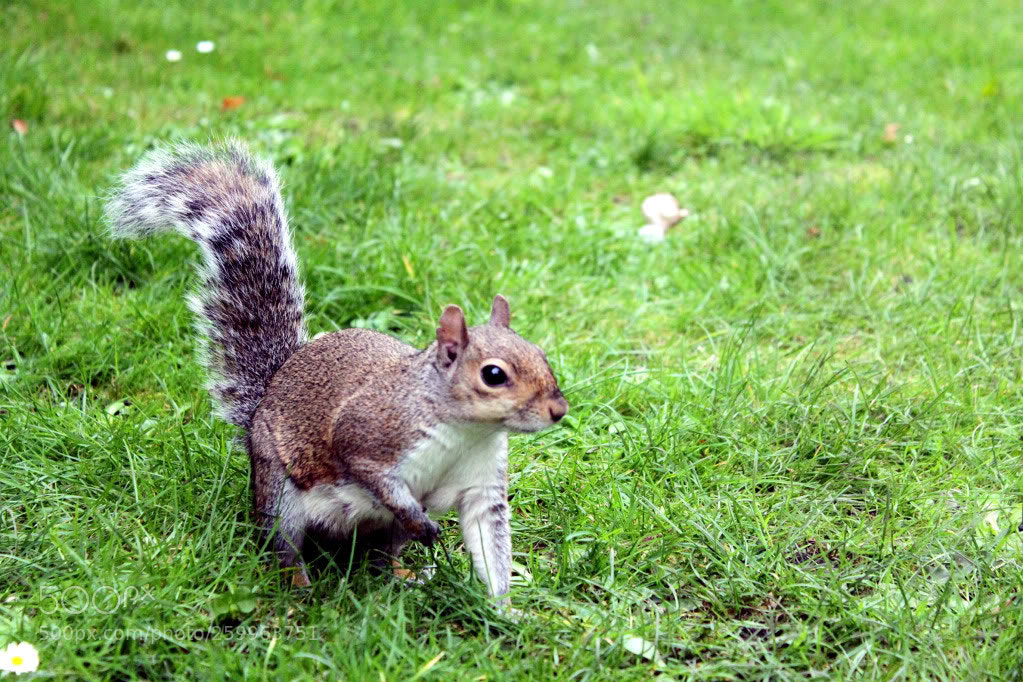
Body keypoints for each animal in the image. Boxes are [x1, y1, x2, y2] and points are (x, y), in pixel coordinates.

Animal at [104, 141, 569, 597]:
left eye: (541, 353)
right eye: (494, 375)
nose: (558, 410)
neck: (466, 431)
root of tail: (265, 399)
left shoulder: (481, 487)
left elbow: (490, 545)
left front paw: (502, 609)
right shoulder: (369, 435)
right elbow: (373, 475)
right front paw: (421, 521)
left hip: (381, 532)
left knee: (381, 558)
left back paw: (404, 574)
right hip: (279, 496)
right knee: (283, 546)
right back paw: (298, 586)